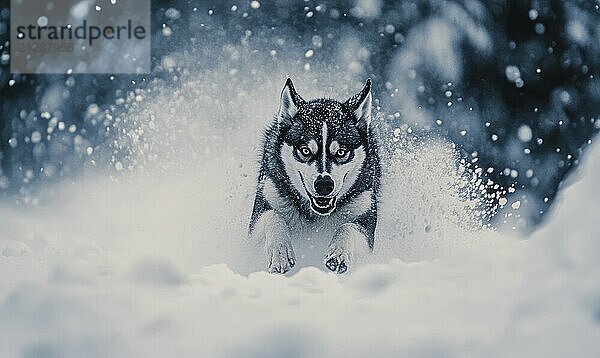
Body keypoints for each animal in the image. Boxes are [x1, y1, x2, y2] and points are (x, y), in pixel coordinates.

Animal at [248, 79, 380, 274]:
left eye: (341, 152)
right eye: (305, 151)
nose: (324, 184)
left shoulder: (364, 217)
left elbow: (347, 227)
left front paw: (338, 253)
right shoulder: (263, 206)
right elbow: (273, 216)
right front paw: (281, 253)